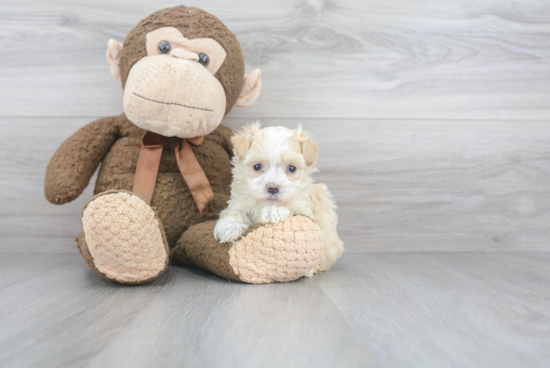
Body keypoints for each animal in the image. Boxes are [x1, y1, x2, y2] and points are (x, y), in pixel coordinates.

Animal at [215, 123, 344, 274]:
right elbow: (233, 212)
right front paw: (228, 227)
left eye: (292, 168)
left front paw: (274, 211)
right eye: (257, 166)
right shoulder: (239, 202)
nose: (272, 187)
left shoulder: (305, 209)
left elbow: (292, 207)